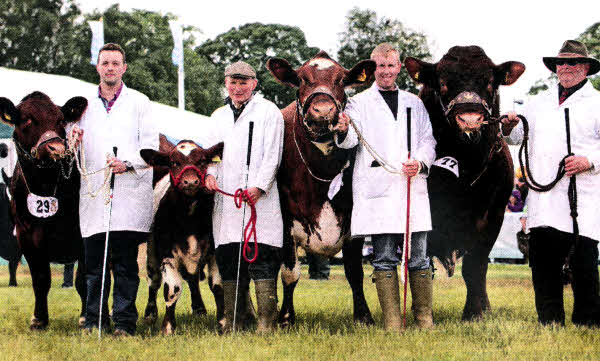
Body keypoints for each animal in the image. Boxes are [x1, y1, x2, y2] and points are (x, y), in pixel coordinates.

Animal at [0, 90, 88, 330]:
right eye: (27, 120)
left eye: (61, 120)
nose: (55, 149)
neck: (45, 184)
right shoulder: (26, 235)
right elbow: (40, 279)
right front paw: (39, 319)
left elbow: (83, 278)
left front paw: (87, 317)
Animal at [141, 139, 225, 334]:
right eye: (174, 162)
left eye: (202, 161)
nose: (191, 182)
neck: (189, 217)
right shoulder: (167, 254)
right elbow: (172, 289)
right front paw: (168, 327)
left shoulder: (214, 252)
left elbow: (217, 286)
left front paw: (223, 323)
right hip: (151, 252)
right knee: (154, 281)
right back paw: (150, 314)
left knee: (192, 279)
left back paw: (199, 309)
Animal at [268, 51, 376, 326]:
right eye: (302, 79)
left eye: (341, 80)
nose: (323, 111)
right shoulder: (285, 222)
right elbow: (290, 272)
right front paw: (286, 317)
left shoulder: (353, 222)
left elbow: (355, 272)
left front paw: (363, 316)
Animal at [404, 46, 524, 320]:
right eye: (443, 82)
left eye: (490, 81)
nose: (469, 119)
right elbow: (420, 264)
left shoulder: (493, 216)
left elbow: (475, 266)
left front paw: (475, 313)